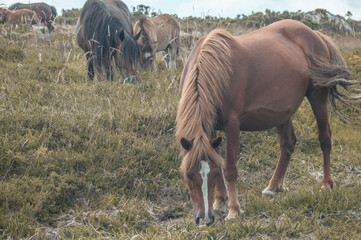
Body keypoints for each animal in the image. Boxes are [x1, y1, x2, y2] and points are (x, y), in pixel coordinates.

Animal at [175, 19, 360, 226]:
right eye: (188, 174)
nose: (205, 218)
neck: (215, 70)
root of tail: (316, 35)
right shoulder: (211, 127)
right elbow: (218, 161)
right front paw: (219, 202)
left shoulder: (232, 124)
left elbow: (229, 168)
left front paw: (233, 210)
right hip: (282, 113)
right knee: (288, 143)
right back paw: (273, 186)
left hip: (317, 97)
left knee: (324, 138)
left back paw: (326, 184)